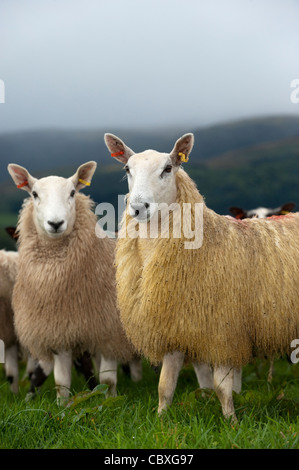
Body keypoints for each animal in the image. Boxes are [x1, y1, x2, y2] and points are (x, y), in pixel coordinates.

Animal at [7, 162, 142, 404]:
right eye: (34, 194)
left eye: (72, 192)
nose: (55, 223)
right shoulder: (60, 332)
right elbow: (61, 382)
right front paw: (63, 405)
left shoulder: (109, 331)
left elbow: (108, 380)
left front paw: (109, 402)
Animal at [103, 132, 299, 422]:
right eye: (127, 169)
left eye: (168, 168)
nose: (138, 208)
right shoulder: (174, 328)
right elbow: (165, 385)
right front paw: (161, 419)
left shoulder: (223, 331)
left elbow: (221, 386)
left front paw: (232, 422)